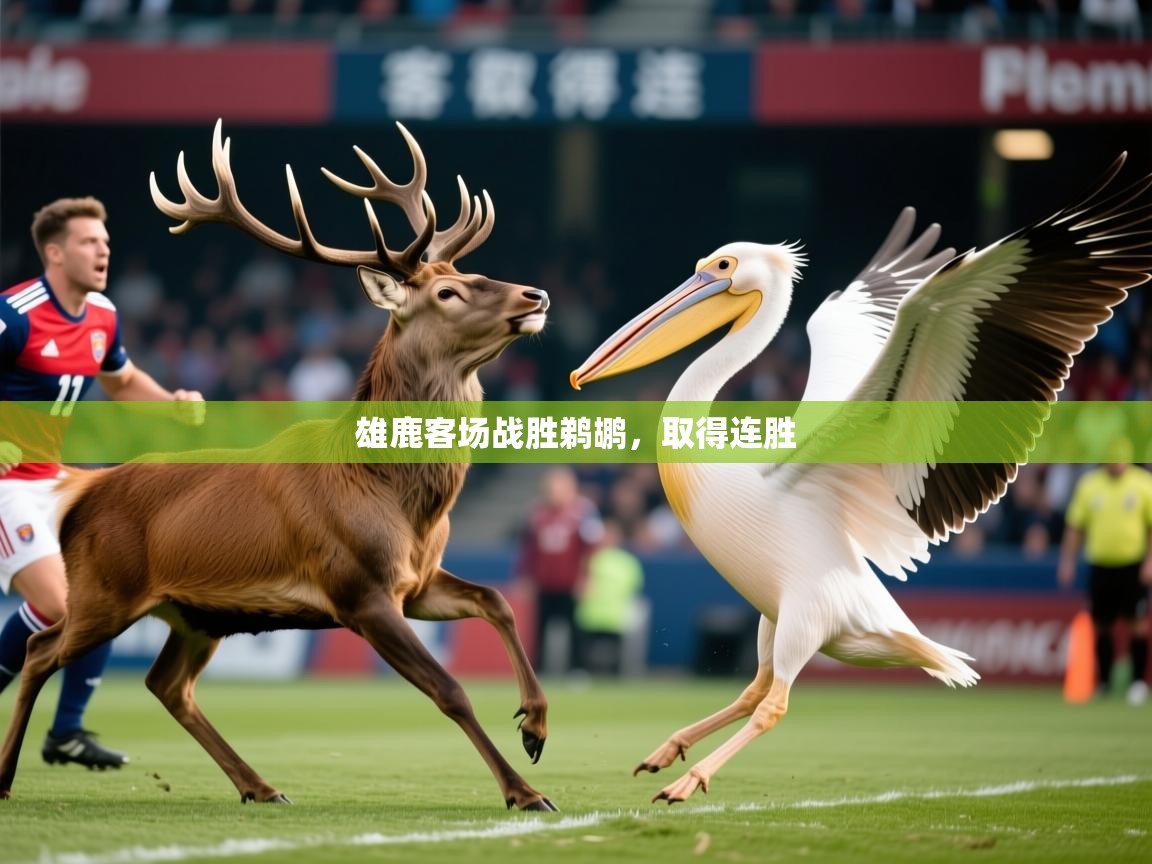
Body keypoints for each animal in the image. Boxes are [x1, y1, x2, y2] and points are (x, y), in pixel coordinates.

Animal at [0, 121, 557, 811]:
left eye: (472, 270)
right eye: (446, 292)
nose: (536, 293)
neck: (403, 501)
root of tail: (85, 489)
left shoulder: (417, 582)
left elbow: (498, 598)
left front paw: (535, 726)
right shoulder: (358, 588)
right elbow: (450, 690)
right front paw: (524, 792)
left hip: (196, 612)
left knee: (166, 683)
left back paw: (260, 786)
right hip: (104, 586)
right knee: (39, 648)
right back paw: (7, 775)